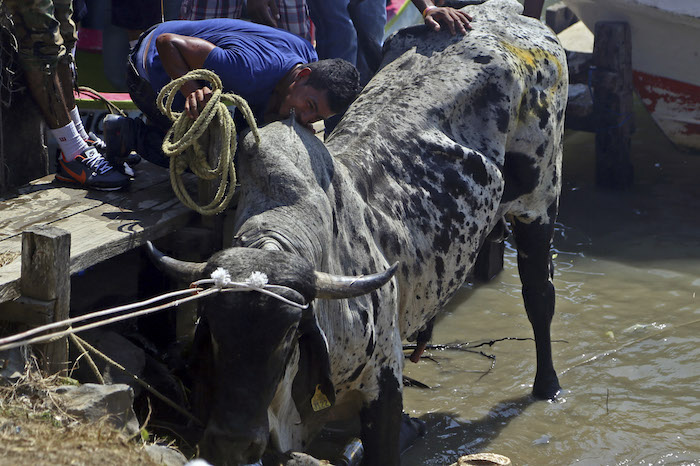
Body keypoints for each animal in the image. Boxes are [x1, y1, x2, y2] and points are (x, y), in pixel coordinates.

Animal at [148, 1, 568, 464]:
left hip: (541, 202)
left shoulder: (382, 381)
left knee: (539, 297)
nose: (232, 442)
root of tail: (503, 11)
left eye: (287, 337)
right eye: (214, 331)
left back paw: (547, 386)